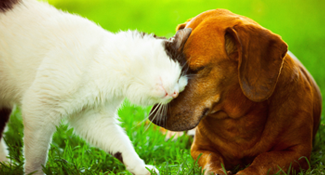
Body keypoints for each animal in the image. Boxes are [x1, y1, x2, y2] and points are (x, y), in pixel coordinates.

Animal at [0, 0, 191, 174]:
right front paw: (35, 172)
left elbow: (121, 144)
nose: (175, 93)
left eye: (182, 88)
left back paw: (5, 164)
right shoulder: (38, 105)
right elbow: (36, 154)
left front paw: (142, 169)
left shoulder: (92, 117)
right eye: (180, 76)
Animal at [149, 9, 318, 175]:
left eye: (196, 70)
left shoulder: (298, 152)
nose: (153, 117)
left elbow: (264, 160)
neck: (239, 117)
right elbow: (212, 160)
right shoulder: (200, 149)